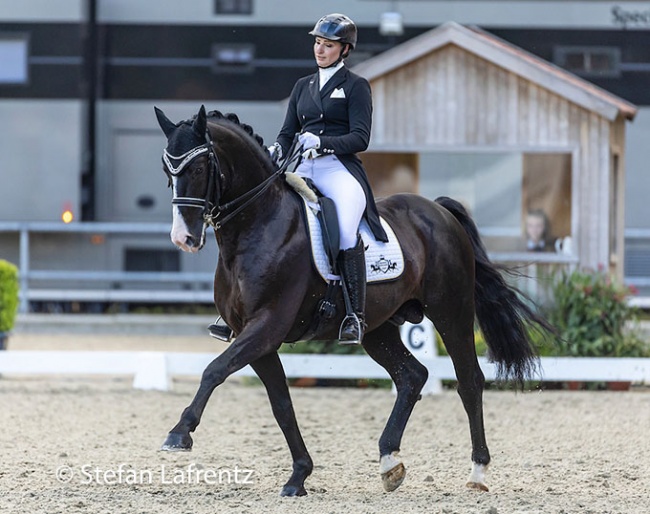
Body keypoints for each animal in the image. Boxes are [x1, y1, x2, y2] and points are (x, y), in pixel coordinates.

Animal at [154, 105, 548, 496]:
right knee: (412, 376)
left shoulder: (267, 326)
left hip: (451, 313)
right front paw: (299, 476)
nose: (183, 238)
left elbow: (214, 370)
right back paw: (390, 462)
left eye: (199, 168)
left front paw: (179, 433)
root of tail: (438, 211)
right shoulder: (257, 337)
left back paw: (477, 472)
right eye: (167, 170)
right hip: (377, 328)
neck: (260, 224)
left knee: (469, 381)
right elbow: (281, 404)